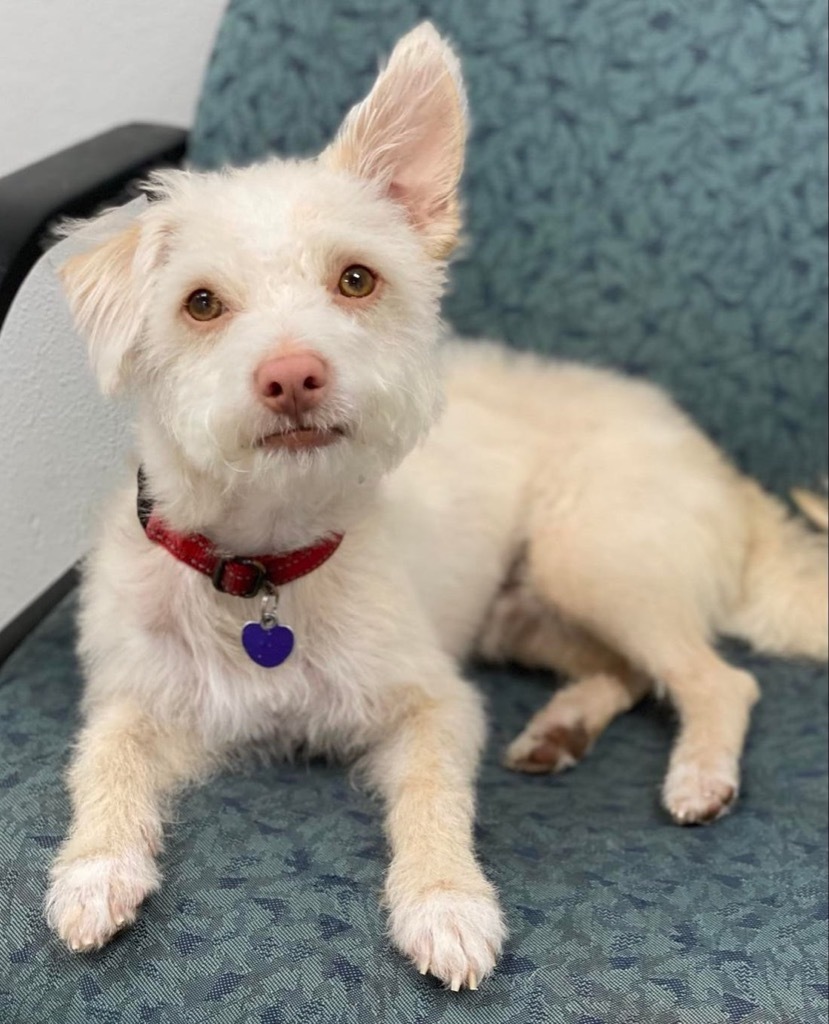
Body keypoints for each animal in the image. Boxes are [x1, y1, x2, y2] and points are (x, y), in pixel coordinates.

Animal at [45, 24, 826, 987]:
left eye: (355, 280)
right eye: (199, 302)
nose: (292, 376)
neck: (265, 568)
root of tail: (715, 459)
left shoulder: (434, 701)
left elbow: (431, 794)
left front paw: (446, 904)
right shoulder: (141, 697)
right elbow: (101, 758)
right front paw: (91, 874)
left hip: (593, 562)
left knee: (717, 679)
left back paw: (696, 777)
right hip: (523, 613)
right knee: (629, 672)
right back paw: (560, 729)